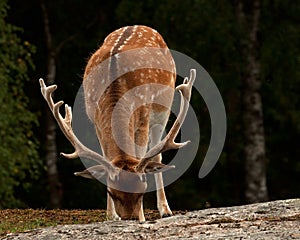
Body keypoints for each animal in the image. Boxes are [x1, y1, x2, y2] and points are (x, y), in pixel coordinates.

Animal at [39, 25, 195, 222]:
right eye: (112, 193)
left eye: (142, 192)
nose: (130, 218)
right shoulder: (96, 121)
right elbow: (107, 157)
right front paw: (111, 215)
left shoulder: (143, 119)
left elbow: (140, 156)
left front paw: (143, 216)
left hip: (163, 109)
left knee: (157, 157)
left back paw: (165, 209)